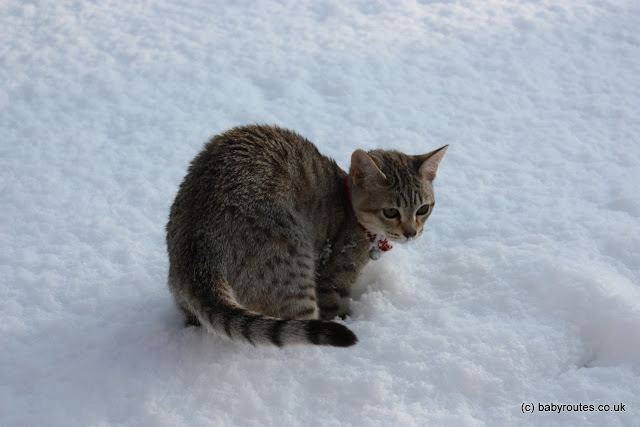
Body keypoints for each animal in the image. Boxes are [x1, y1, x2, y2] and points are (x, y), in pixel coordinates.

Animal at [165, 124, 448, 348]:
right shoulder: (332, 279)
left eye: (423, 209)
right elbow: (336, 306)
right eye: (391, 211)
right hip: (292, 263)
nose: (411, 233)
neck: (347, 202)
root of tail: (199, 245)